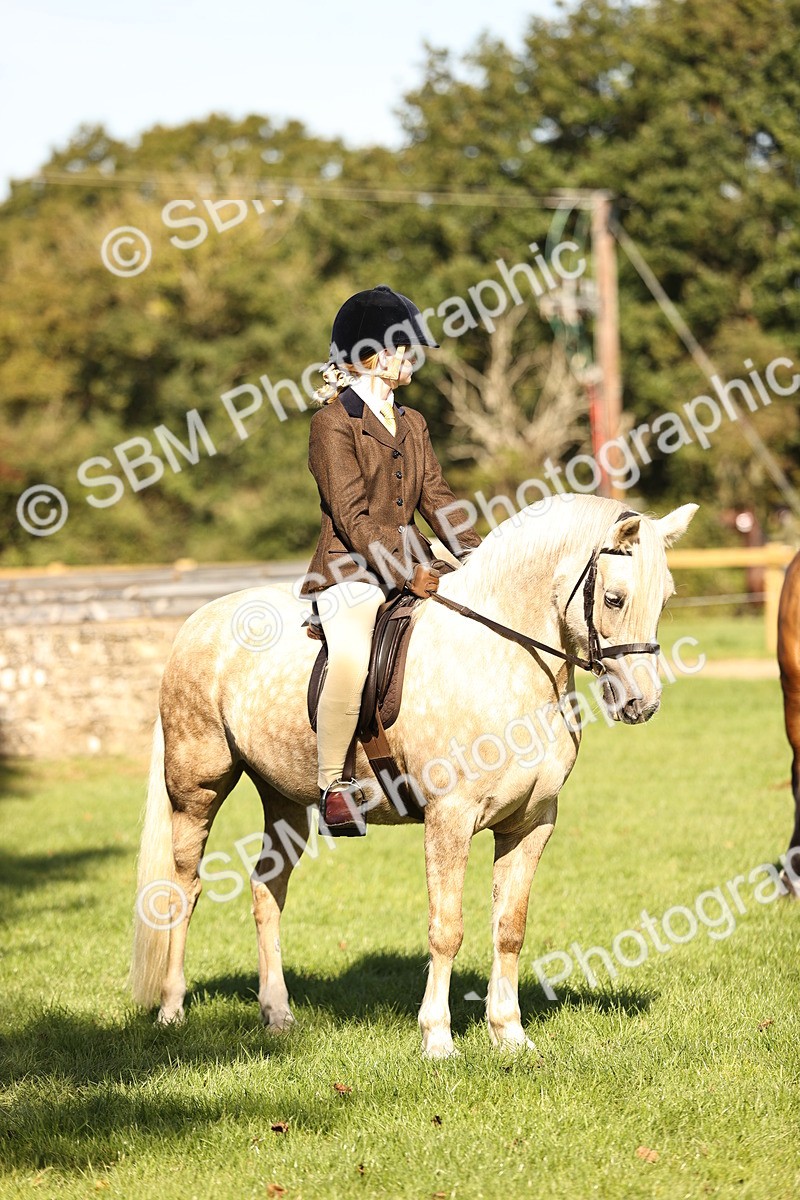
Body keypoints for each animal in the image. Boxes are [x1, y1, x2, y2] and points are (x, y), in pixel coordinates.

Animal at [130, 493, 697, 1057]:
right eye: (616, 599)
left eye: (664, 598)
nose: (642, 703)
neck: (502, 658)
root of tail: (199, 619)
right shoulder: (450, 819)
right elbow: (447, 929)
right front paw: (438, 1038)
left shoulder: (531, 822)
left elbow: (510, 928)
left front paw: (510, 1034)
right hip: (197, 790)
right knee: (183, 889)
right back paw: (172, 1010)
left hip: (284, 799)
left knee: (267, 890)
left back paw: (278, 1015)